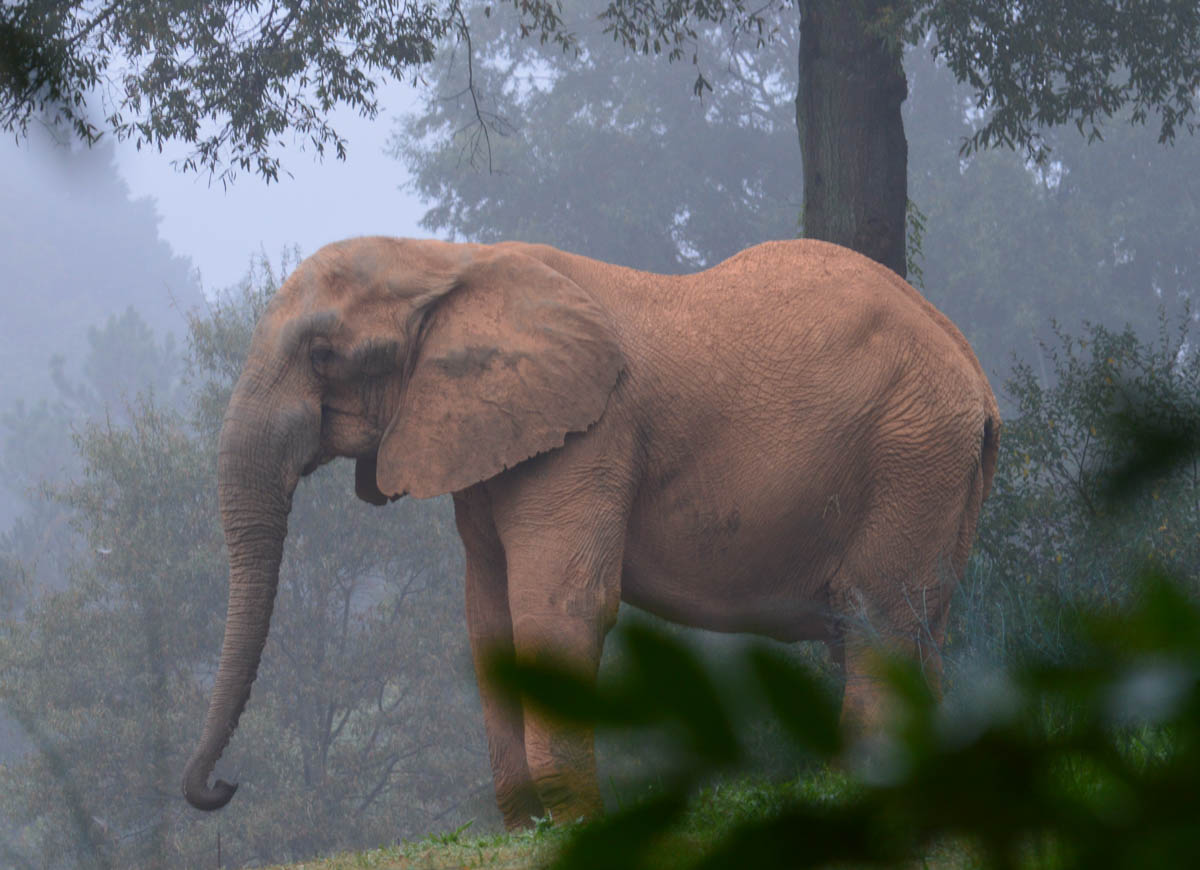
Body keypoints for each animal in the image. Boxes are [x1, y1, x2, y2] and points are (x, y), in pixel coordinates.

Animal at [182, 236, 998, 830]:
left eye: (323, 355)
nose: (221, 786)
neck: (449, 261)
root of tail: (975, 373)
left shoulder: (589, 438)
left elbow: (557, 611)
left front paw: (581, 828)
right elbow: (489, 619)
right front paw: (527, 828)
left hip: (910, 456)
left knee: (875, 629)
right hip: (936, 474)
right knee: (922, 633)